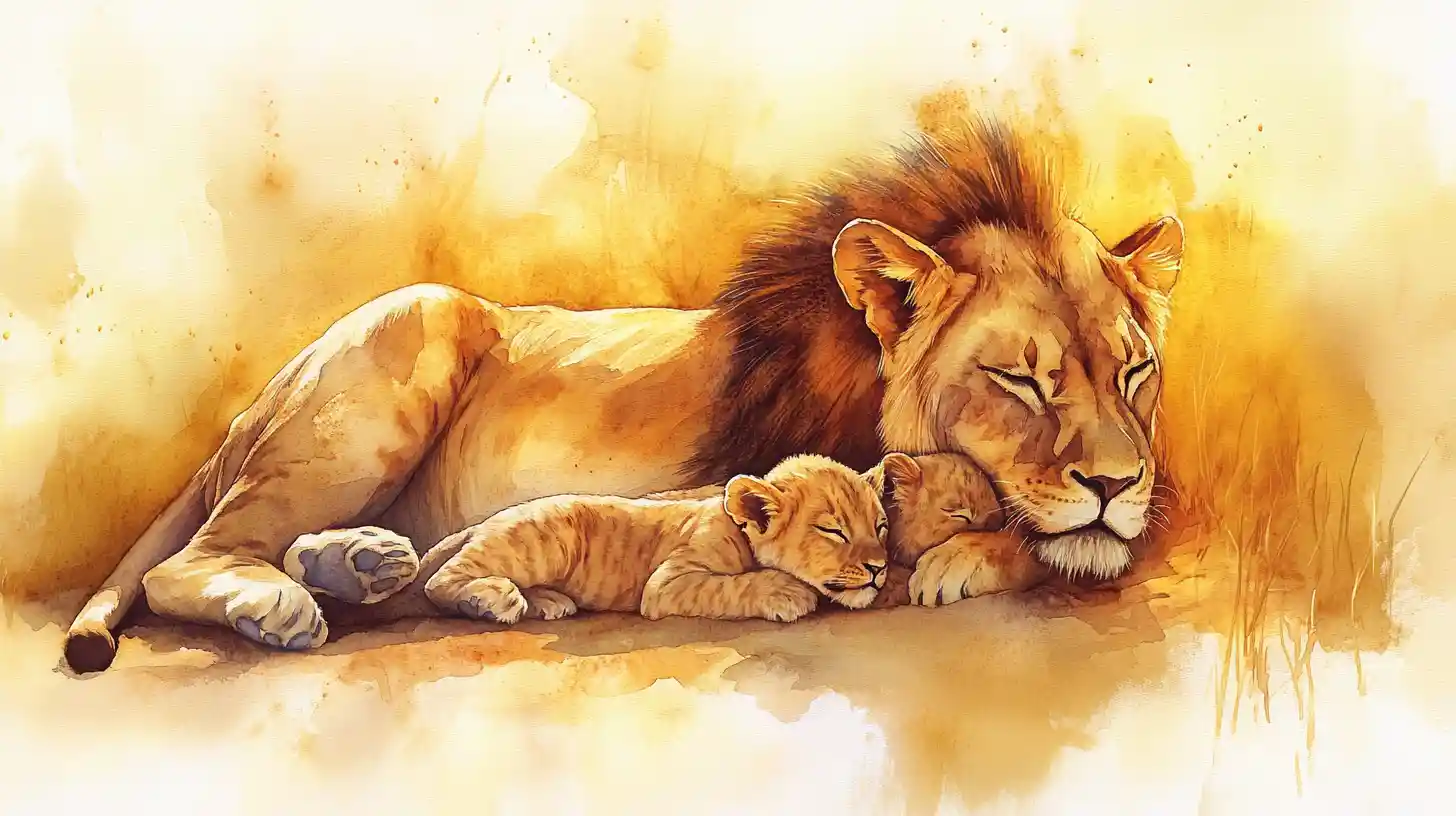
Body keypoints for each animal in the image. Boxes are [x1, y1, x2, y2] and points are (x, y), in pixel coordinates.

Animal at [62, 116, 1184, 673]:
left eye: (1136, 370)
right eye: (1017, 378)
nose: (1118, 482)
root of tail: (258, 401)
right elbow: (1026, 536)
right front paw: (966, 553)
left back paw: (363, 565)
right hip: (409, 337)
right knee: (197, 560)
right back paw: (282, 609)